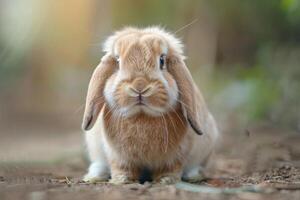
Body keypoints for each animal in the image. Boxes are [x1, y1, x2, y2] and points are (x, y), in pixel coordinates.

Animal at [81, 26, 218, 184]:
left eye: (162, 60)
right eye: (118, 61)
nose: (139, 86)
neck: (142, 115)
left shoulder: (176, 156)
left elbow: (172, 168)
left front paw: (166, 180)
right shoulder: (118, 157)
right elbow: (121, 168)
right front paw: (122, 180)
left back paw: (194, 176)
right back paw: (93, 177)